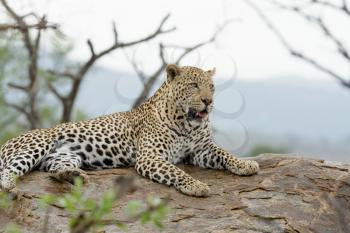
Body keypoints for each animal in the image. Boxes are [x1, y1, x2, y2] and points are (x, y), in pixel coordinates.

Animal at [0, 64, 258, 197]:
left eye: (211, 87)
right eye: (194, 85)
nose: (208, 101)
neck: (186, 123)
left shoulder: (202, 150)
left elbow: (224, 153)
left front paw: (246, 164)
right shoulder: (151, 156)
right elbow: (176, 172)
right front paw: (196, 185)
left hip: (64, 156)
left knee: (55, 170)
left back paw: (72, 175)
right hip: (36, 144)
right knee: (7, 171)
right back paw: (11, 186)